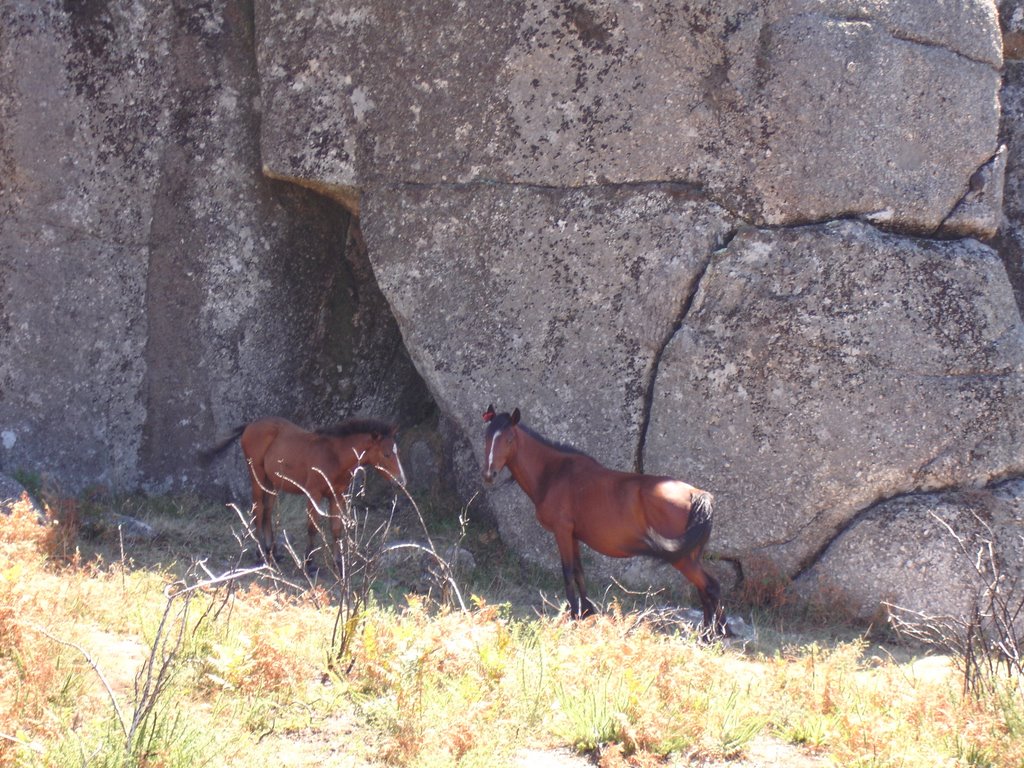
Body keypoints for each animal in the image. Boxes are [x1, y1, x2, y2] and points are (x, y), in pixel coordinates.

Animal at [199, 417, 407, 573]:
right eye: (387, 454)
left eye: (397, 452)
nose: (401, 481)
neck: (334, 456)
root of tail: (250, 424)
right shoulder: (313, 494)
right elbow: (312, 527)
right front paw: (309, 563)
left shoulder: (337, 496)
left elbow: (336, 529)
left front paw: (338, 564)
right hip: (257, 475)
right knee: (258, 510)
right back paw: (261, 554)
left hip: (272, 481)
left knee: (267, 510)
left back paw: (272, 551)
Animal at [481, 405, 729, 638]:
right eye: (486, 437)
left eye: (509, 439)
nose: (489, 474)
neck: (554, 474)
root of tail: (696, 494)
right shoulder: (573, 535)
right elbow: (579, 572)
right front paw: (586, 612)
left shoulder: (562, 532)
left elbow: (568, 572)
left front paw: (574, 616)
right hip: (691, 555)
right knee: (706, 588)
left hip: (683, 559)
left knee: (709, 586)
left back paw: (709, 635)